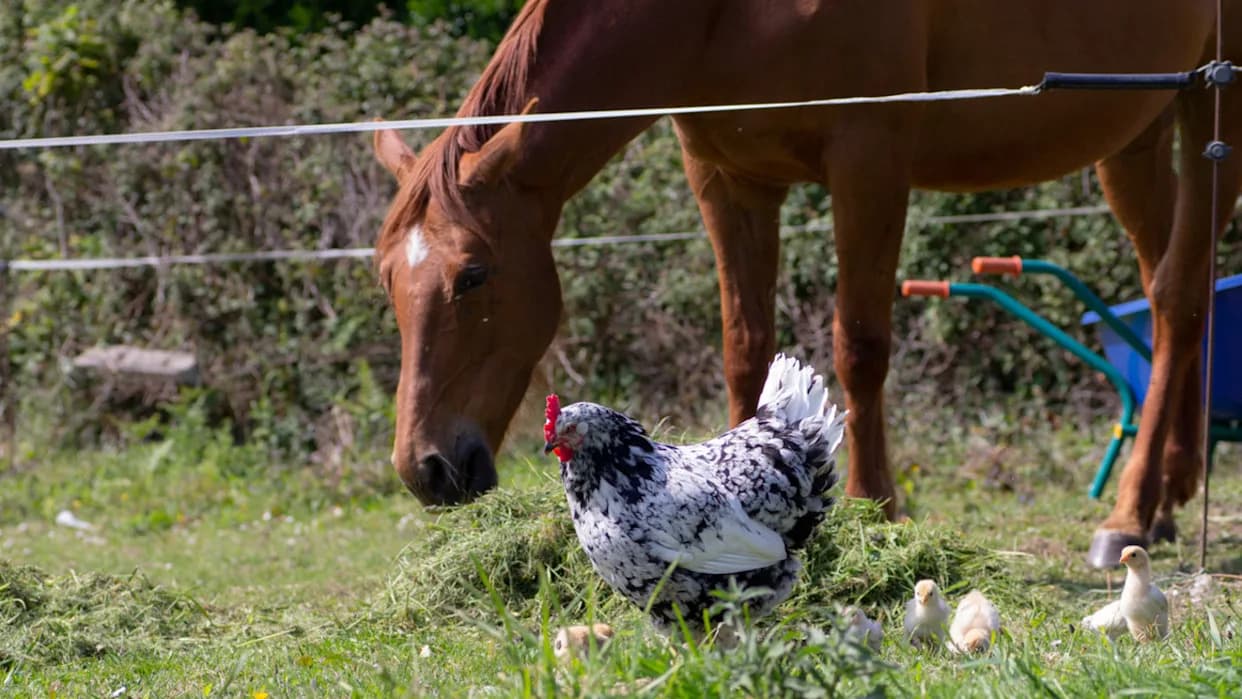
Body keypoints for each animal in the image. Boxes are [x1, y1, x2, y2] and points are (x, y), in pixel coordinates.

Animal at [371, 0, 1240, 568]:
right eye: (388, 282)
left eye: (472, 276)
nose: (425, 468)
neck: (720, 17)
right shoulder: (729, 180)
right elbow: (744, 347)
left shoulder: (869, 156)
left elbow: (859, 344)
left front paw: (876, 507)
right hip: (1135, 130)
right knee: (1173, 288)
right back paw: (1170, 491)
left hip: (1213, 106)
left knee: (1177, 293)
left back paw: (1130, 513)